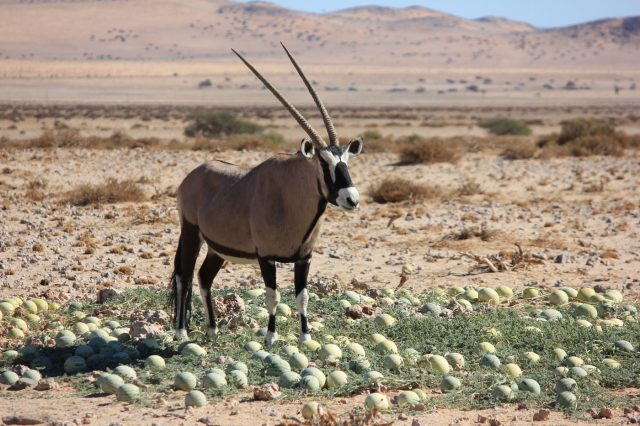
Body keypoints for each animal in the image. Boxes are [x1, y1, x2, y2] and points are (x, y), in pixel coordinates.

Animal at [170, 43, 364, 346]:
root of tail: (192, 175)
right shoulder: (266, 257)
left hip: (216, 248)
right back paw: (181, 331)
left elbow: (302, 297)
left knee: (204, 277)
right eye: (324, 163)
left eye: (346, 161)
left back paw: (212, 330)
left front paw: (305, 338)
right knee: (184, 275)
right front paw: (271, 338)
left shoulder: (304, 258)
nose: (351, 199)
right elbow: (273, 297)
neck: (290, 195)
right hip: (190, 232)